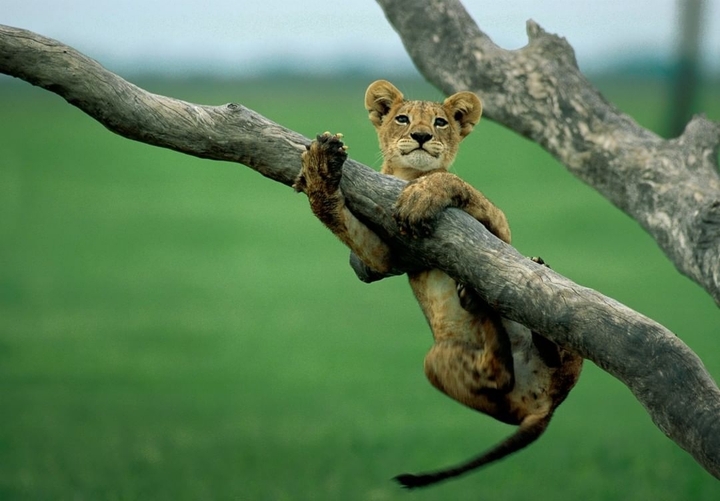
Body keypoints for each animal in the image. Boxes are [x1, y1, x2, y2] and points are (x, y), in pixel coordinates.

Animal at [293, 80, 582, 489]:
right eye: (402, 118)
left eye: (440, 122)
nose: (421, 136)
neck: (405, 176)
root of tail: (546, 406)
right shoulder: (383, 256)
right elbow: (331, 212)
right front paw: (321, 164)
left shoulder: (499, 231)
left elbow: (451, 179)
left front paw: (422, 196)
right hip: (439, 361)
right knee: (500, 375)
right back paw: (478, 304)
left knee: (541, 351)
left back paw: (506, 293)